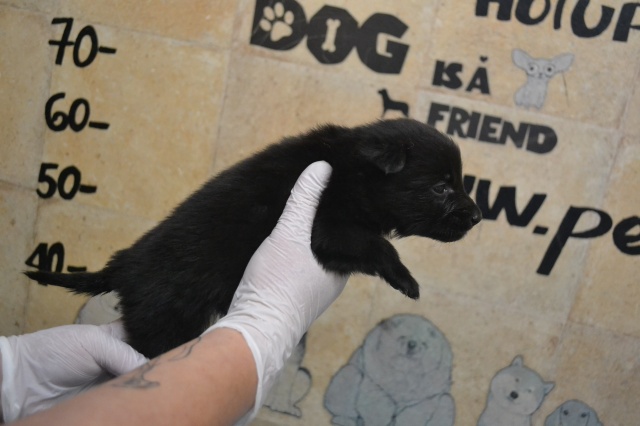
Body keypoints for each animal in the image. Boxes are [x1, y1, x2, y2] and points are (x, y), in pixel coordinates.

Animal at [25, 118, 482, 358]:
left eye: (458, 182)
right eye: (441, 187)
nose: (478, 216)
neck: (353, 170)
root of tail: (122, 266)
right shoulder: (326, 228)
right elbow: (378, 245)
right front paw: (407, 280)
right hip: (166, 320)